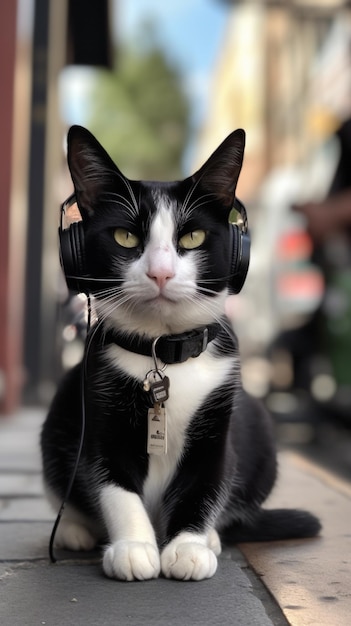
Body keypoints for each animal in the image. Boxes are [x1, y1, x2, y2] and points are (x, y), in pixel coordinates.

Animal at [41, 125, 322, 580]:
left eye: (192, 236)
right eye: (126, 237)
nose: (161, 273)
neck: (165, 349)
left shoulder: (219, 417)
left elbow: (205, 482)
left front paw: (188, 547)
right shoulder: (99, 405)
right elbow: (112, 481)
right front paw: (134, 547)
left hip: (259, 425)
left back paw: (210, 538)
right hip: (62, 408)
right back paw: (74, 529)